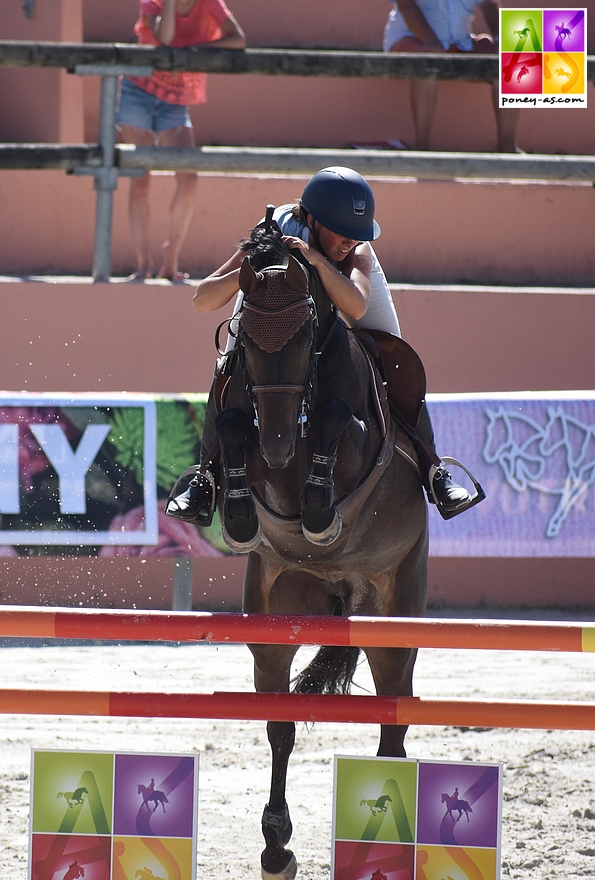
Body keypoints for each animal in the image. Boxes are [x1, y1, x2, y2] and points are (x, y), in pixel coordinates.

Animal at [214, 223, 428, 876]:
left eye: (306, 333)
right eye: (245, 340)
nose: (281, 444)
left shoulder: (350, 435)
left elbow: (336, 417)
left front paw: (317, 509)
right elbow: (232, 426)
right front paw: (238, 513)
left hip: (395, 612)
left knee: (393, 723)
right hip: (275, 613)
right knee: (279, 724)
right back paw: (275, 845)